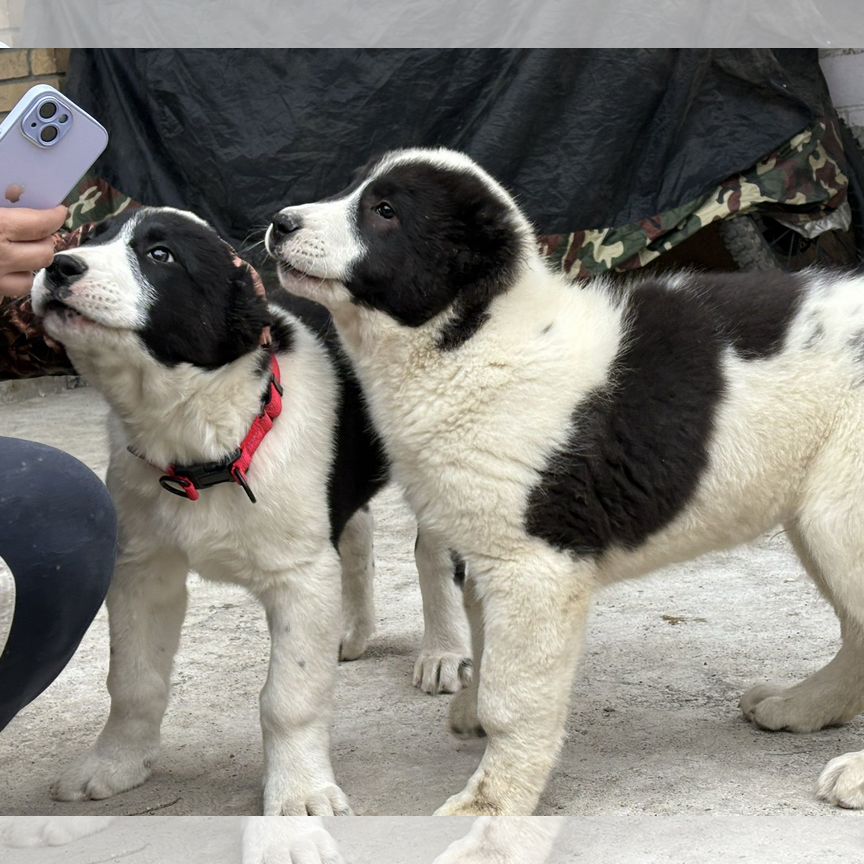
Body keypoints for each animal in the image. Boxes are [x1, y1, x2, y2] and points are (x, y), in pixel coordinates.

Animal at [30, 208, 470, 816]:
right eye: (89, 237)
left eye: (161, 255)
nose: (59, 266)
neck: (207, 442)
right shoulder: (142, 569)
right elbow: (133, 681)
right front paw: (116, 765)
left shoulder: (299, 577)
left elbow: (288, 697)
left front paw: (299, 793)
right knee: (357, 532)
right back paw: (351, 628)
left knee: (432, 550)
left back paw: (444, 650)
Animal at [264, 145, 864, 812]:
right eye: (352, 188)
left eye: (385, 212)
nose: (280, 223)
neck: (474, 338)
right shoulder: (487, 546)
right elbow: (484, 637)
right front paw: (474, 712)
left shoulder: (536, 565)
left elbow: (514, 696)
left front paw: (491, 805)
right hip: (818, 519)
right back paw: (803, 705)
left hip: (840, 517)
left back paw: (853, 768)